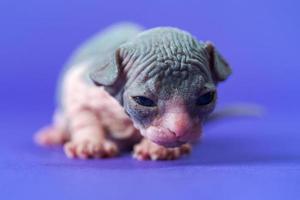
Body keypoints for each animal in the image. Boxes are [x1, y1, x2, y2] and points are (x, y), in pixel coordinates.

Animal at [34, 22, 232, 160]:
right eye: (143, 101)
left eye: (206, 98)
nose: (180, 130)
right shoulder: (81, 86)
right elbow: (84, 115)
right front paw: (91, 144)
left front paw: (158, 148)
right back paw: (55, 134)